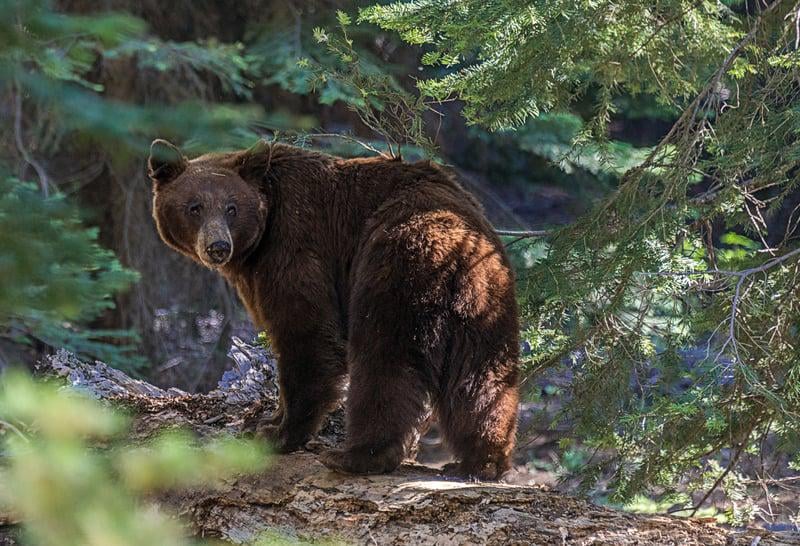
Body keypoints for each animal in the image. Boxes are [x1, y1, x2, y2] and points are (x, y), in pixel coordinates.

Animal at [147, 138, 520, 479]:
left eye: (231, 208)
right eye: (194, 207)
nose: (218, 247)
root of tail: (457, 249)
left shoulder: (296, 244)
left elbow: (306, 333)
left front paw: (279, 433)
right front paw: (265, 421)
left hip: (394, 269)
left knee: (384, 362)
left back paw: (357, 456)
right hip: (486, 303)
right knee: (482, 377)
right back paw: (481, 461)